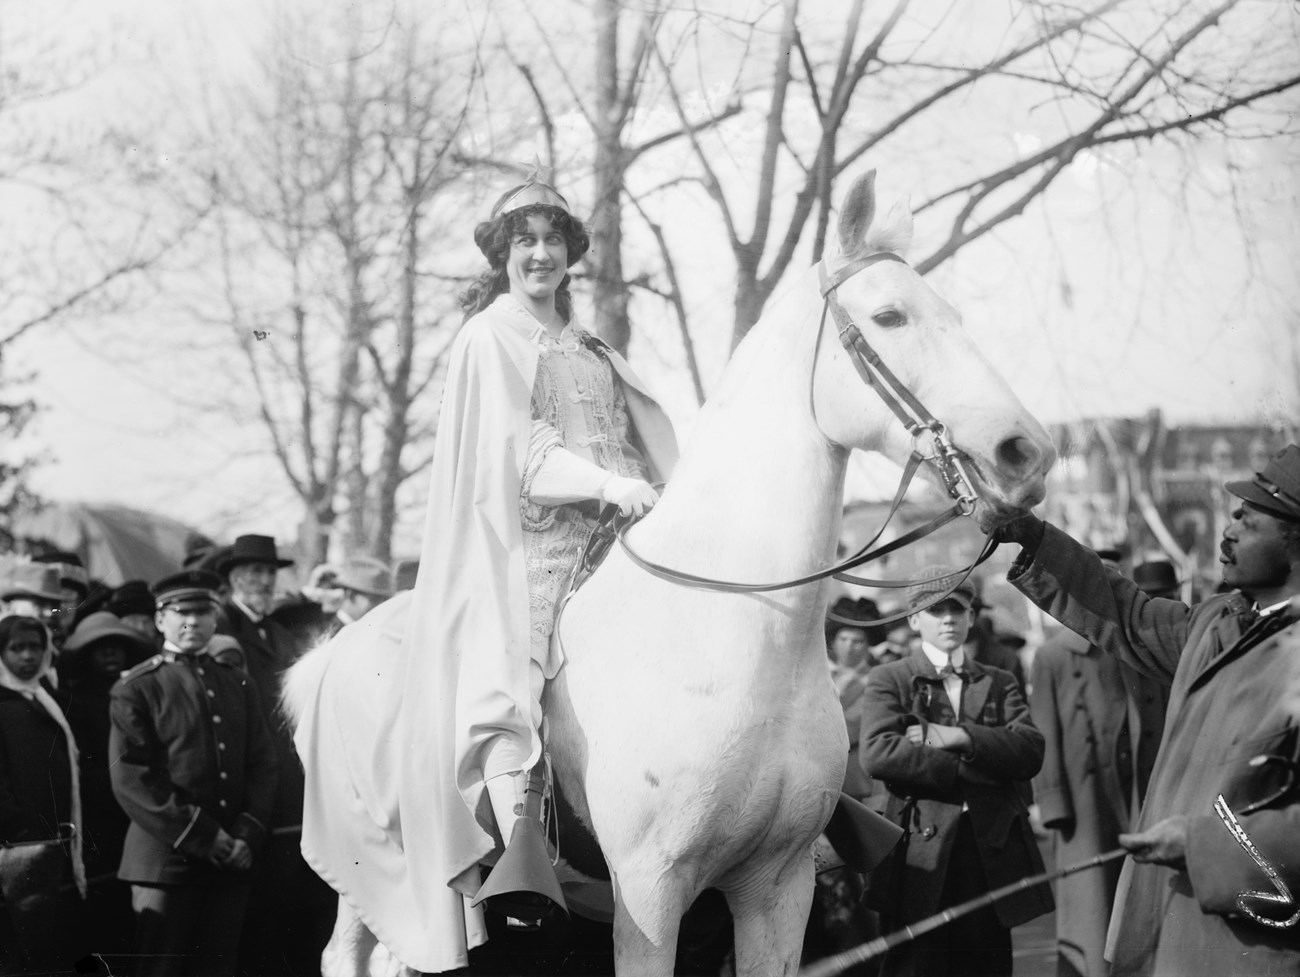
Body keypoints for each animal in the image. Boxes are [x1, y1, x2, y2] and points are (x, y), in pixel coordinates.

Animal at [282, 171, 1045, 976]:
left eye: (953, 313)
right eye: (890, 315)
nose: (1026, 450)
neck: (734, 637)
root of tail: (333, 652)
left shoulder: (779, 886)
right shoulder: (649, 891)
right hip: (385, 883)